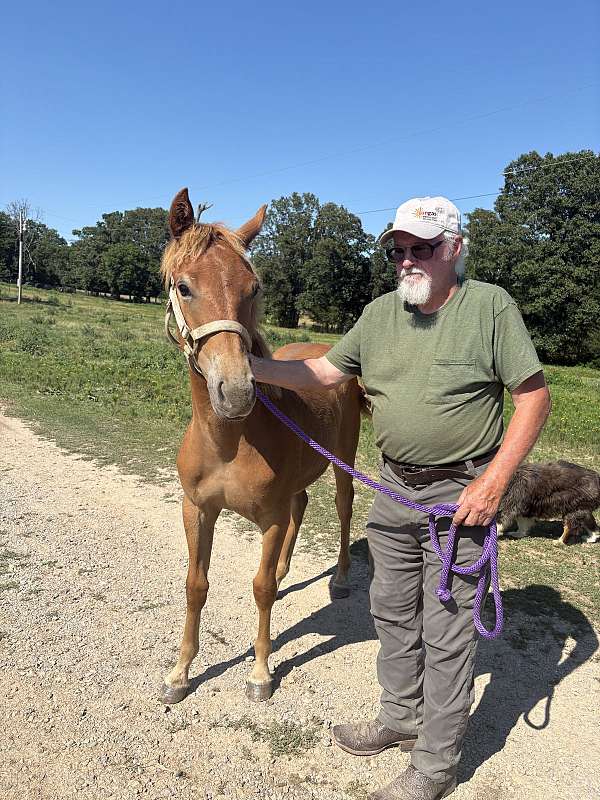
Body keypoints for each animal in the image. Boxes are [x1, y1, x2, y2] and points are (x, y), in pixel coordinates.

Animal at [159, 188, 366, 704]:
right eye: (184, 287)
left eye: (252, 288)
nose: (235, 391)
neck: (229, 442)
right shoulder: (197, 509)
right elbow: (195, 585)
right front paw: (180, 672)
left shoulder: (269, 518)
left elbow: (260, 590)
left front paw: (259, 672)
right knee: (302, 501)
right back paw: (287, 570)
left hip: (344, 463)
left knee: (342, 508)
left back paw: (341, 577)